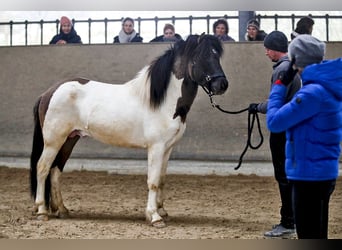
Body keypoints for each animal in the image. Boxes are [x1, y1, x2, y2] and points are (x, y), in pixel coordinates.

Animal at [30, 34, 228, 228]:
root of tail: (49, 92)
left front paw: (162, 210)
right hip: (54, 141)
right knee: (42, 168)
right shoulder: (156, 147)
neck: (164, 101)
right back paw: (42, 211)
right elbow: (153, 181)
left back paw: (62, 210)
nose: (222, 85)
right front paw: (154, 216)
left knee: (55, 171)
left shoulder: (167, 148)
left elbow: (162, 179)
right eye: (201, 57)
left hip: (69, 140)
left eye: (217, 56)